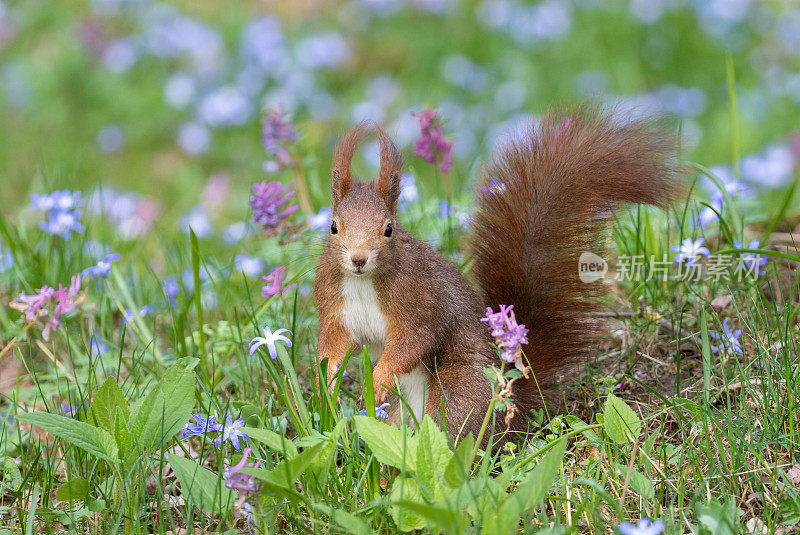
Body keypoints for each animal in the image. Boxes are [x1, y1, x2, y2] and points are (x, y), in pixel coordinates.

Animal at [312, 107, 676, 442]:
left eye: (388, 229)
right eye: (333, 226)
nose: (359, 259)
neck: (363, 282)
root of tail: (513, 404)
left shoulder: (420, 302)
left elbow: (412, 343)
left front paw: (377, 380)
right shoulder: (334, 311)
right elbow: (333, 347)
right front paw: (326, 385)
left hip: (460, 395)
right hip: (400, 416)